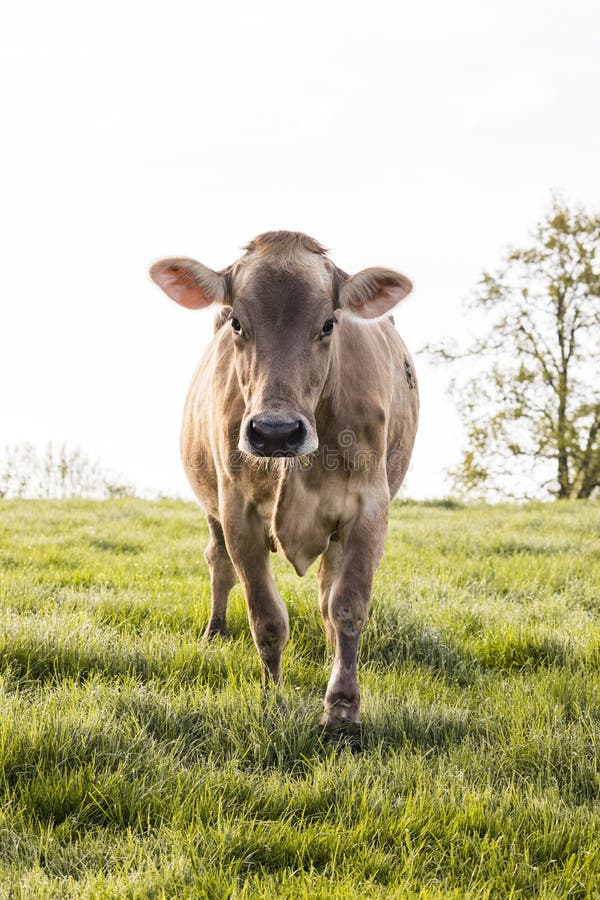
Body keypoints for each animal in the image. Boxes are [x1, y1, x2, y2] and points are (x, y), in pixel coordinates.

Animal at [150, 232, 418, 732]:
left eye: (329, 324)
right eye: (237, 322)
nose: (275, 431)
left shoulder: (369, 509)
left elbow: (347, 606)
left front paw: (342, 710)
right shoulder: (238, 512)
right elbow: (267, 616)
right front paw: (272, 699)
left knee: (328, 595)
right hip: (212, 507)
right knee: (218, 563)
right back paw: (214, 631)